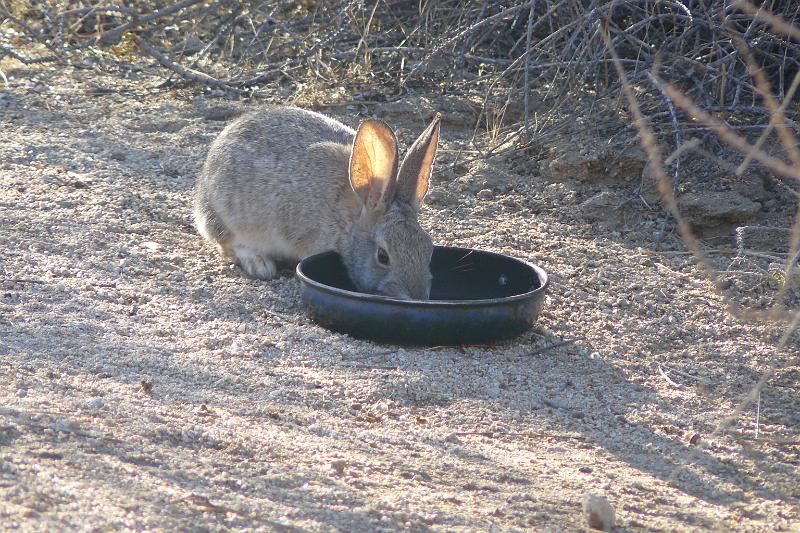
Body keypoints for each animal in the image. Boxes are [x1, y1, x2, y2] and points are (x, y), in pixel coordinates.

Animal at [194, 106, 442, 300]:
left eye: (428, 249)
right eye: (383, 256)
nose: (417, 297)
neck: (350, 220)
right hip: (226, 216)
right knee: (228, 243)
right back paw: (260, 265)